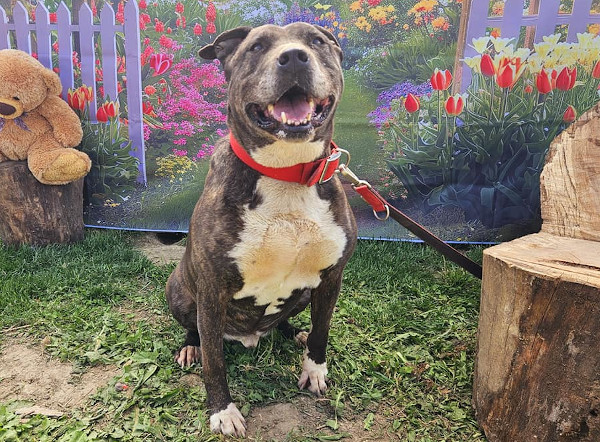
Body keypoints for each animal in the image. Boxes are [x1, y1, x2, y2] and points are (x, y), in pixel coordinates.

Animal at [166, 22, 357, 437]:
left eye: (316, 41)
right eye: (256, 47)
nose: (295, 57)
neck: (287, 172)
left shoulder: (331, 277)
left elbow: (323, 330)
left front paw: (314, 370)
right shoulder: (212, 290)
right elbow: (215, 362)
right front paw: (222, 411)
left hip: (303, 293)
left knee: (287, 321)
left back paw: (294, 332)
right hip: (181, 291)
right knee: (198, 332)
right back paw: (191, 346)